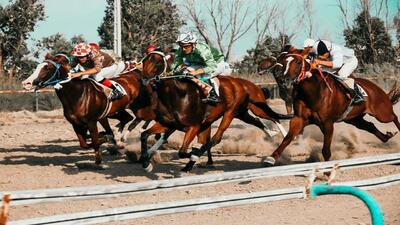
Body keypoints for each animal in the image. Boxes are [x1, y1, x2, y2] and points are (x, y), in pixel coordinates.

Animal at [139, 51, 290, 171]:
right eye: (144, 61)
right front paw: (146, 163)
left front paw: (194, 155)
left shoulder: (194, 126)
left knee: (217, 138)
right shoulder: (169, 124)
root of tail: (243, 84)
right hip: (242, 113)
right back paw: (272, 133)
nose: (144, 79)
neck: (178, 95)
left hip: (234, 112)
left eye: (158, 62)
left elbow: (183, 151)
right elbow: (145, 135)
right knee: (257, 120)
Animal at [262, 52, 400, 165]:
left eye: (298, 62)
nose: (284, 80)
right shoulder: (299, 119)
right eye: (283, 63)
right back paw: (386, 136)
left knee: (393, 116)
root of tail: (376, 87)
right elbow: (287, 138)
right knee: (370, 126)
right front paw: (271, 158)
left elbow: (326, 150)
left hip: (382, 113)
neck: (313, 92)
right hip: (354, 119)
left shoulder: (327, 123)